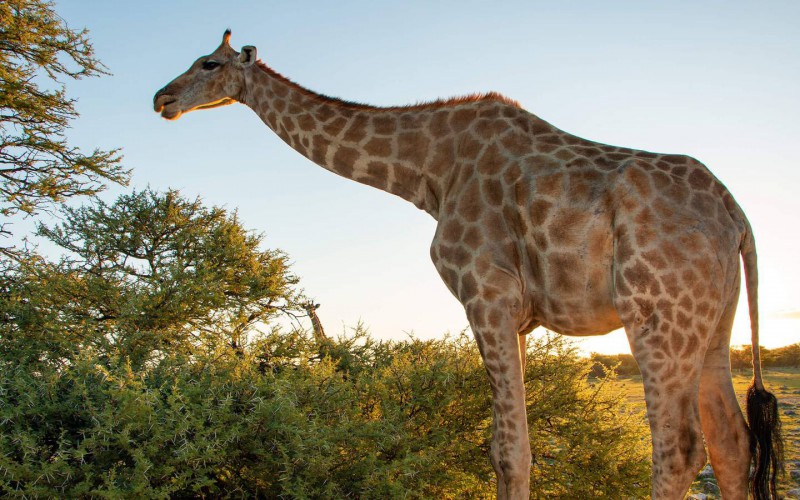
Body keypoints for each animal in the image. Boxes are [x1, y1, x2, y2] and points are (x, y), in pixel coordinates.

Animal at [155, 32, 780, 500]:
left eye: (208, 63)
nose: (161, 98)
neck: (430, 171)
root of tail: (735, 213)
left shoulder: (486, 295)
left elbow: (509, 450)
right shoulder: (519, 317)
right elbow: (509, 446)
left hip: (656, 314)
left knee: (680, 448)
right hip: (713, 324)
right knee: (732, 442)